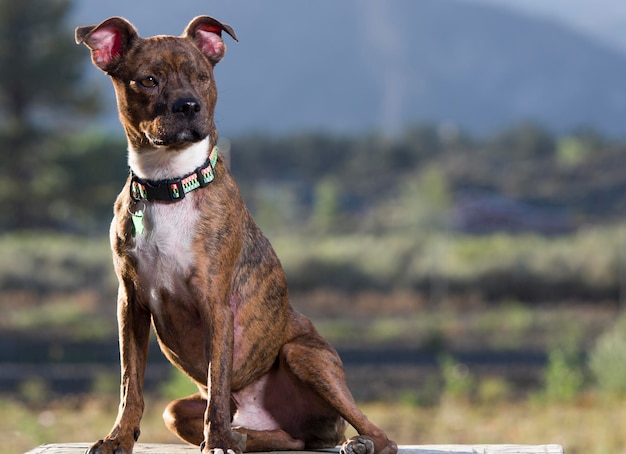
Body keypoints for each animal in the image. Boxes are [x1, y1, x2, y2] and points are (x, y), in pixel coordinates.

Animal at [73, 15, 394, 454]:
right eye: (149, 80)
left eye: (202, 77)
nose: (188, 105)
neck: (168, 184)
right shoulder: (131, 304)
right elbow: (130, 384)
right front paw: (118, 438)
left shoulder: (215, 303)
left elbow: (218, 379)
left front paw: (220, 440)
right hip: (179, 411)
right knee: (286, 439)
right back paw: (247, 435)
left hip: (305, 355)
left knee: (378, 434)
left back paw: (356, 442)